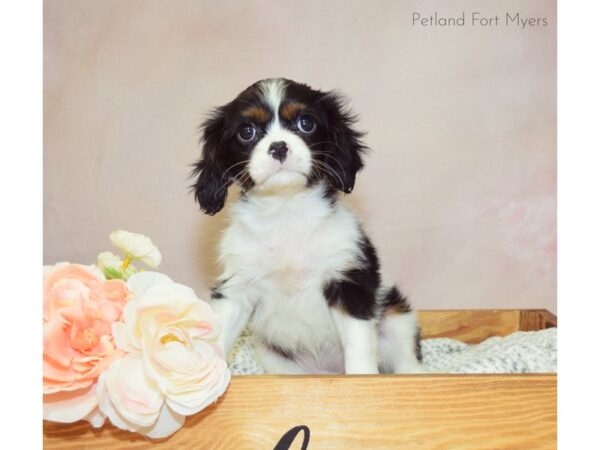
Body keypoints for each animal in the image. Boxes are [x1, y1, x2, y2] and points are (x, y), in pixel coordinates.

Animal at [192, 79, 422, 374]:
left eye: (306, 123)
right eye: (246, 131)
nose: (279, 146)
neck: (286, 208)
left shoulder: (348, 283)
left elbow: (358, 346)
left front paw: (361, 379)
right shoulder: (236, 288)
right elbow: (219, 335)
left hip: (396, 317)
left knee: (408, 360)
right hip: (276, 358)